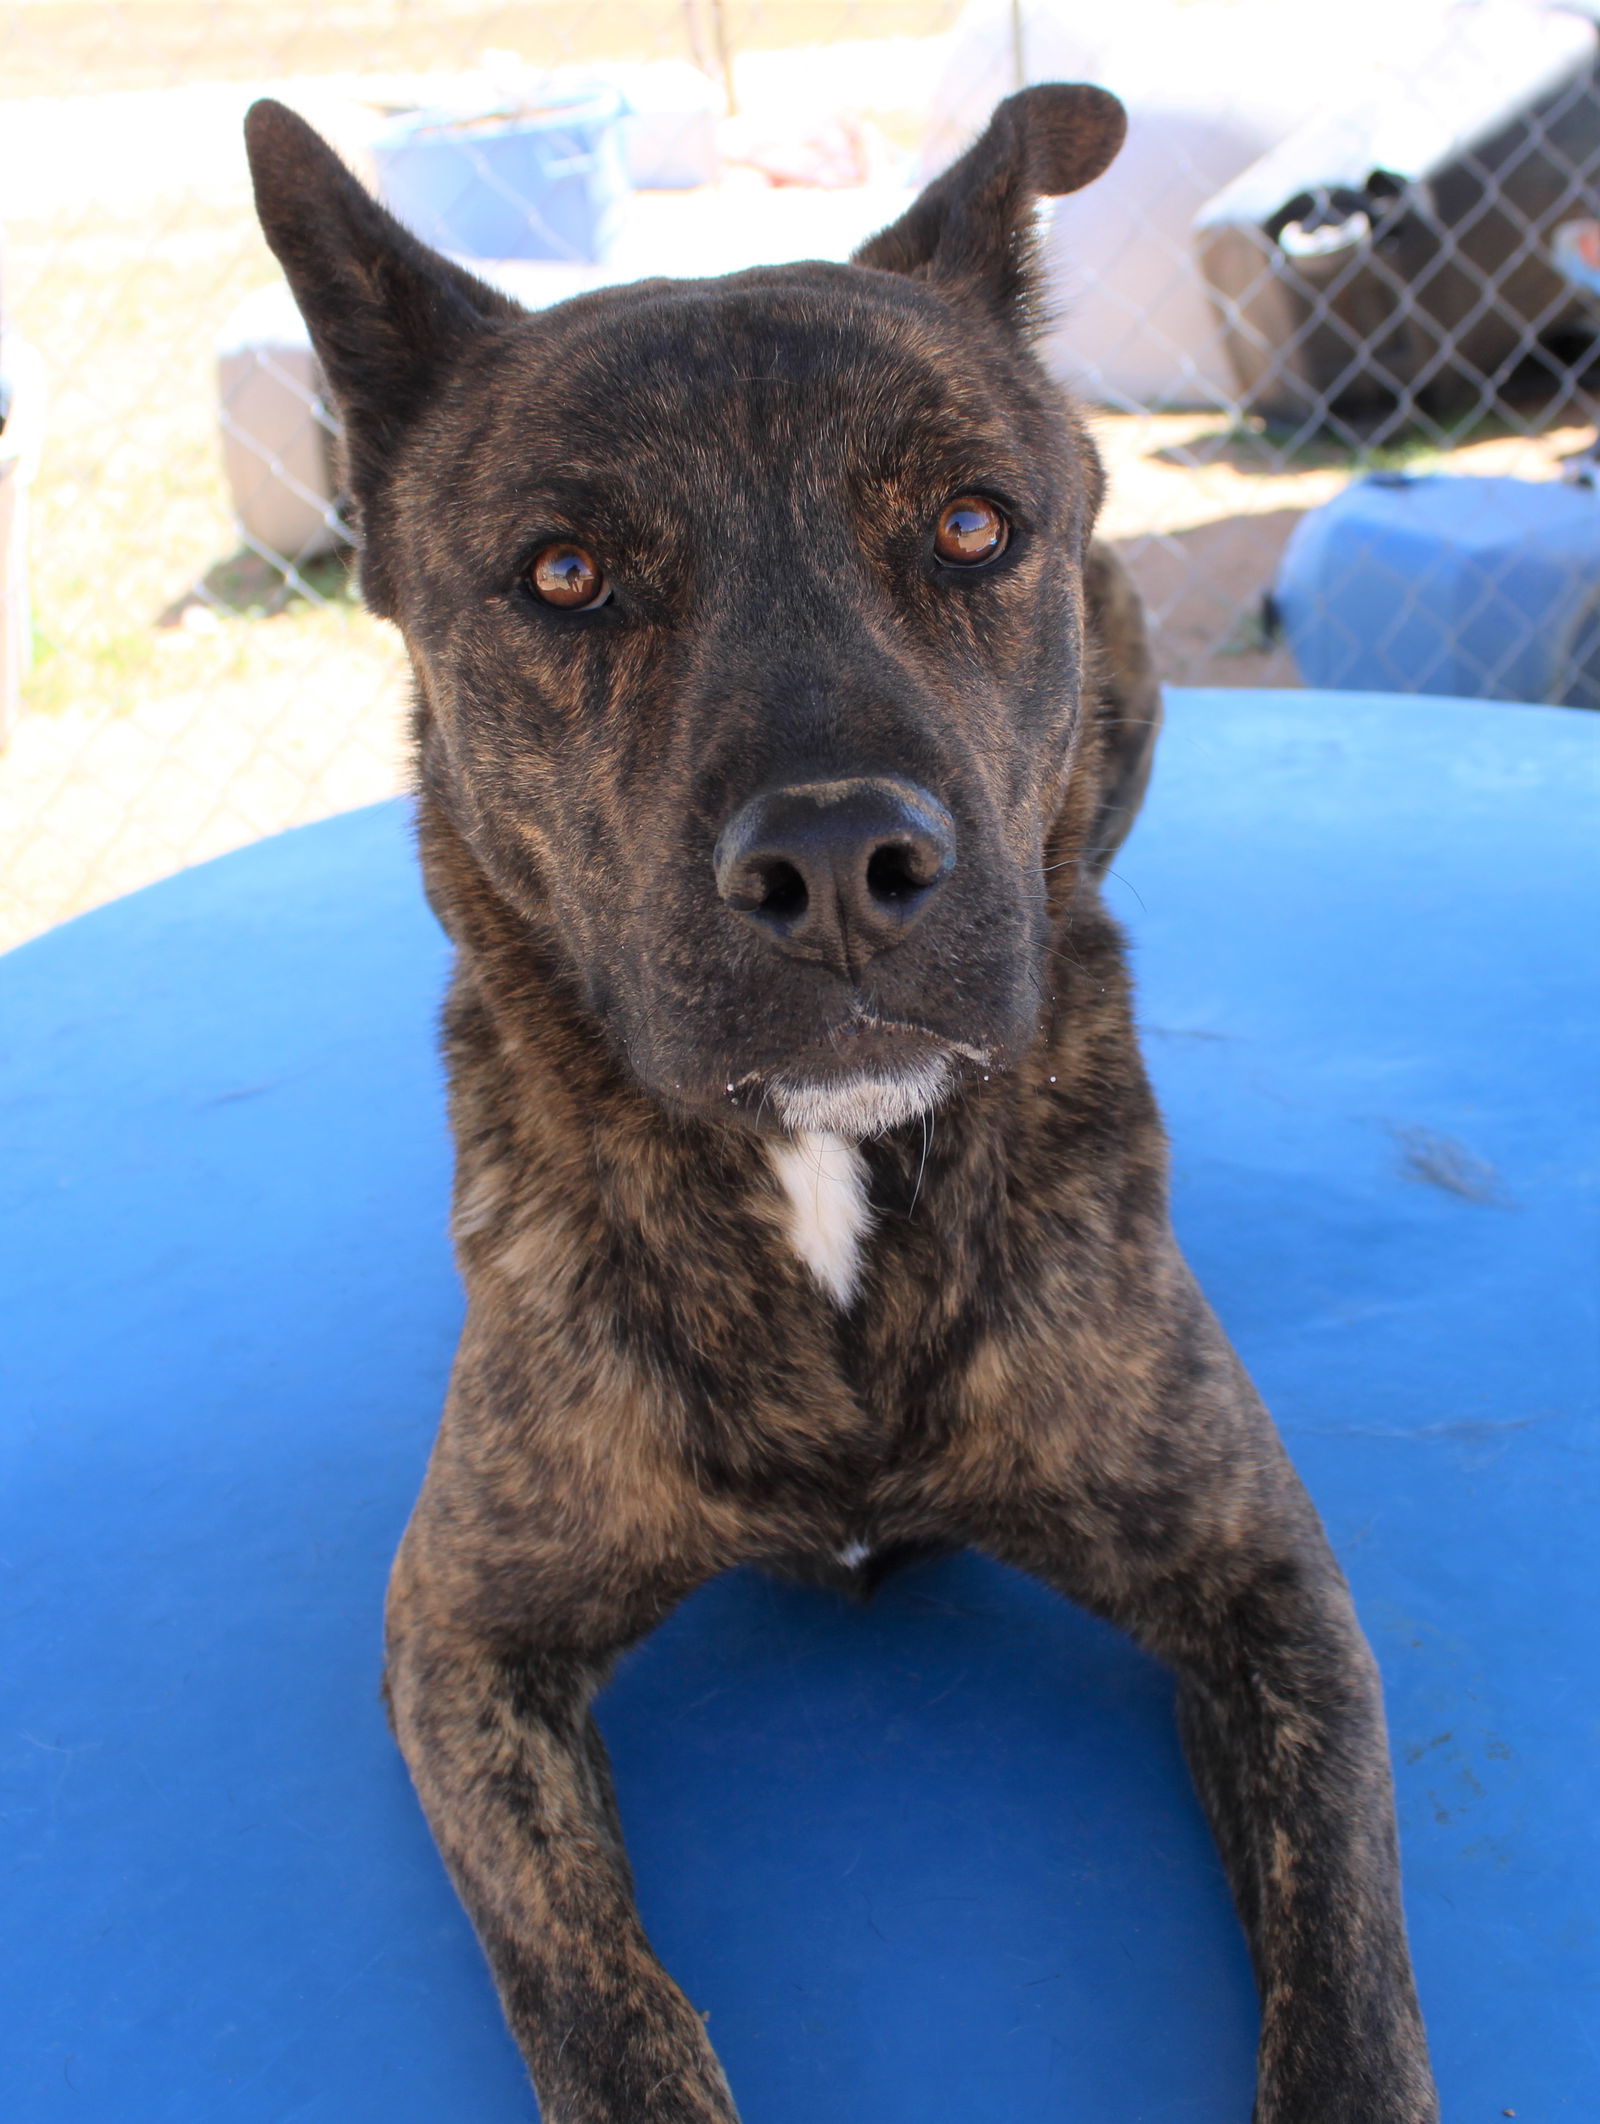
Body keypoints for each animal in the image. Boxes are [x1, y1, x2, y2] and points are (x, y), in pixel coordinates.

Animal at [246, 87, 1436, 2124]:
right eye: (563, 573)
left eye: (972, 527)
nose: (834, 869)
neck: (827, 1177)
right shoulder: (461, 1641)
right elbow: (593, 1993)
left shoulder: (1270, 1588)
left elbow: (1352, 1979)